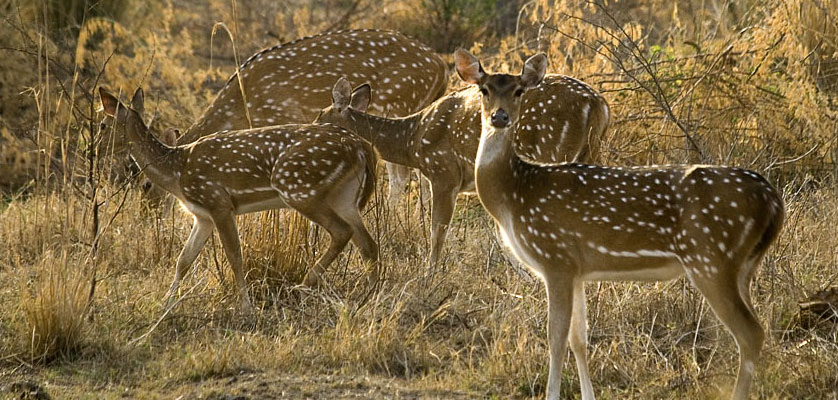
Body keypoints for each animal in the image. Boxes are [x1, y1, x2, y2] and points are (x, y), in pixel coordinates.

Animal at [98, 87, 380, 312]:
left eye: (102, 124)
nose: (92, 148)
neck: (177, 172)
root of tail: (361, 147)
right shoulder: (203, 215)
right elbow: (184, 260)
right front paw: (166, 303)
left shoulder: (218, 201)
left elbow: (234, 255)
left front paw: (245, 307)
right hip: (344, 196)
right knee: (368, 243)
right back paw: (369, 295)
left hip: (299, 188)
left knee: (342, 232)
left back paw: (304, 285)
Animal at [318, 72, 608, 268]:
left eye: (321, 117)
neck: (413, 139)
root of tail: (597, 104)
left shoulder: (443, 172)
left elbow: (438, 229)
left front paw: (430, 272)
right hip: (589, 153)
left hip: (549, 151)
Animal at [456, 50, 784, 400]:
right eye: (484, 90)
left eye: (519, 91)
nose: (499, 117)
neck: (514, 196)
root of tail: (773, 202)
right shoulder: (576, 269)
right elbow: (579, 339)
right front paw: (588, 395)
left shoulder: (555, 256)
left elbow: (556, 338)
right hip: (743, 266)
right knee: (757, 328)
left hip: (711, 259)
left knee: (750, 333)